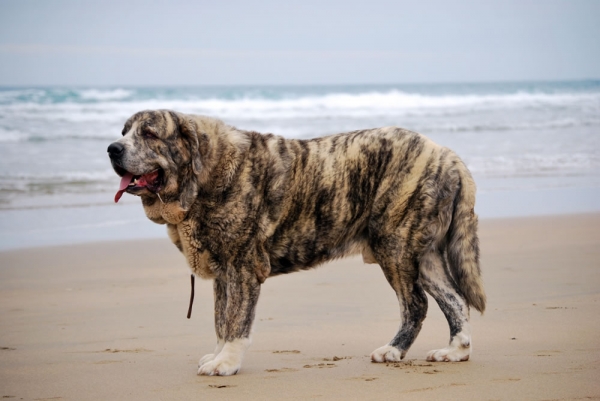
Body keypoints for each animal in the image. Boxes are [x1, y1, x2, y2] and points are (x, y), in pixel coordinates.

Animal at [108, 108, 486, 376]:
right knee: (455, 299)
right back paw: (456, 351)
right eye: (124, 132)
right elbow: (221, 321)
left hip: (395, 246)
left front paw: (226, 363)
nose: (113, 148)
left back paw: (394, 351)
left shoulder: (242, 268)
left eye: (149, 133)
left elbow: (236, 321)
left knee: (416, 304)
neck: (203, 174)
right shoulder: (224, 274)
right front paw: (218, 355)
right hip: (423, 256)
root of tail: (447, 154)